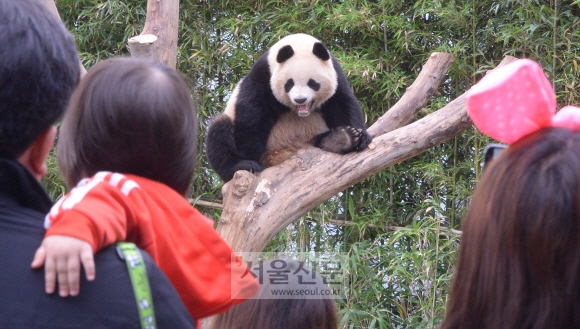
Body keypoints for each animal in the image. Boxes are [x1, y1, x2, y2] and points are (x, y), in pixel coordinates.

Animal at [207, 32, 372, 182]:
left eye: (312, 83)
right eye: (289, 83)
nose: (300, 99)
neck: (298, 43)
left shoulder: (336, 72)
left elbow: (342, 103)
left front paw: (358, 136)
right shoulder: (263, 75)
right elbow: (252, 112)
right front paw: (249, 157)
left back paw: (340, 139)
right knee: (219, 131)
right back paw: (243, 165)